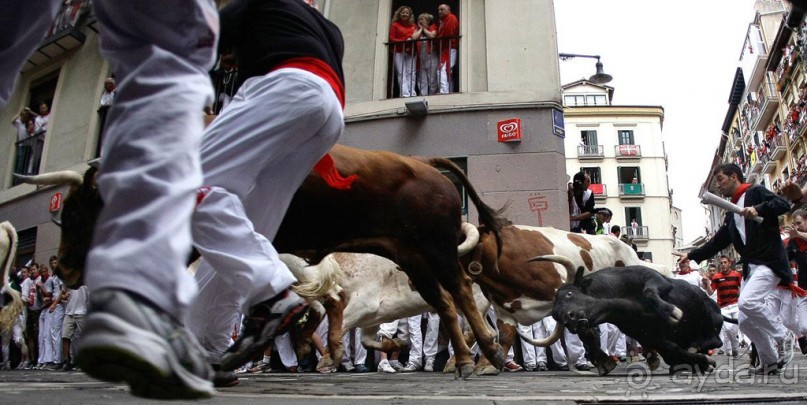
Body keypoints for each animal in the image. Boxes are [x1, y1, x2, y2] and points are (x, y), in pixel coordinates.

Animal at [14, 144, 504, 378]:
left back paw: (485, 353)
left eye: (78, 210)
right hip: (412, 257)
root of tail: (424, 163)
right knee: (443, 304)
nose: (63, 267)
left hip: (432, 251)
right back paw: (470, 357)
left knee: (458, 295)